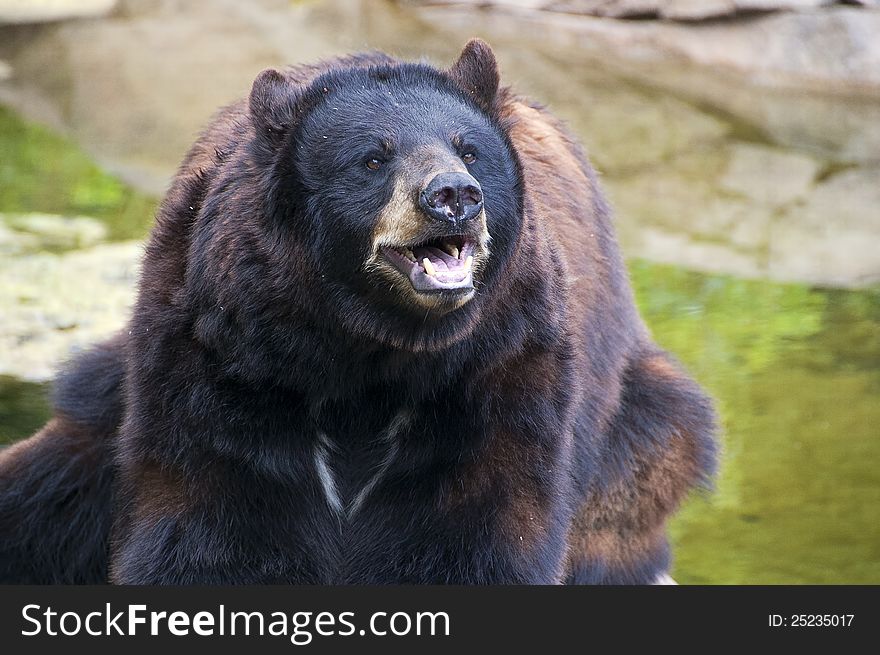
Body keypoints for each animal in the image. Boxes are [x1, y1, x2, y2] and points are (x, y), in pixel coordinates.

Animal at [0, 41, 716, 584]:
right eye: (373, 157)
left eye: (469, 148)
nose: (454, 196)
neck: (366, 350)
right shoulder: (221, 361)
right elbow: (210, 520)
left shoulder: (500, 372)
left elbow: (478, 530)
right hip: (102, 405)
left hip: (635, 437)